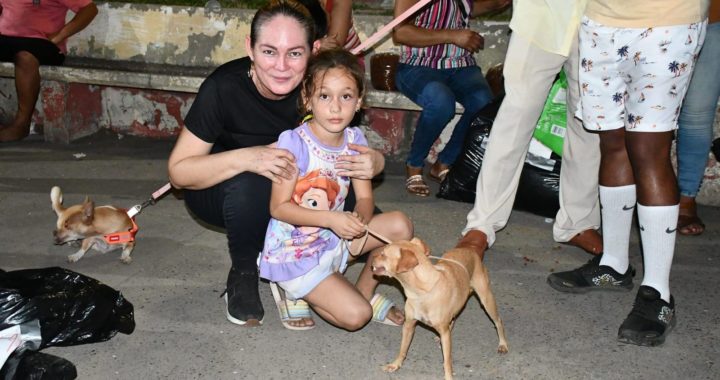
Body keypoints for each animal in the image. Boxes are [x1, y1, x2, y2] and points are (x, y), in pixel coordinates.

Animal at [374, 236, 510, 378]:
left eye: (383, 254)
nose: (372, 257)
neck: (422, 292)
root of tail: (470, 250)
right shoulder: (408, 325)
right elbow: (402, 349)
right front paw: (395, 365)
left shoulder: (444, 333)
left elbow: (447, 360)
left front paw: (448, 376)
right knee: (453, 319)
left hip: (486, 300)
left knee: (498, 321)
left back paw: (503, 344)